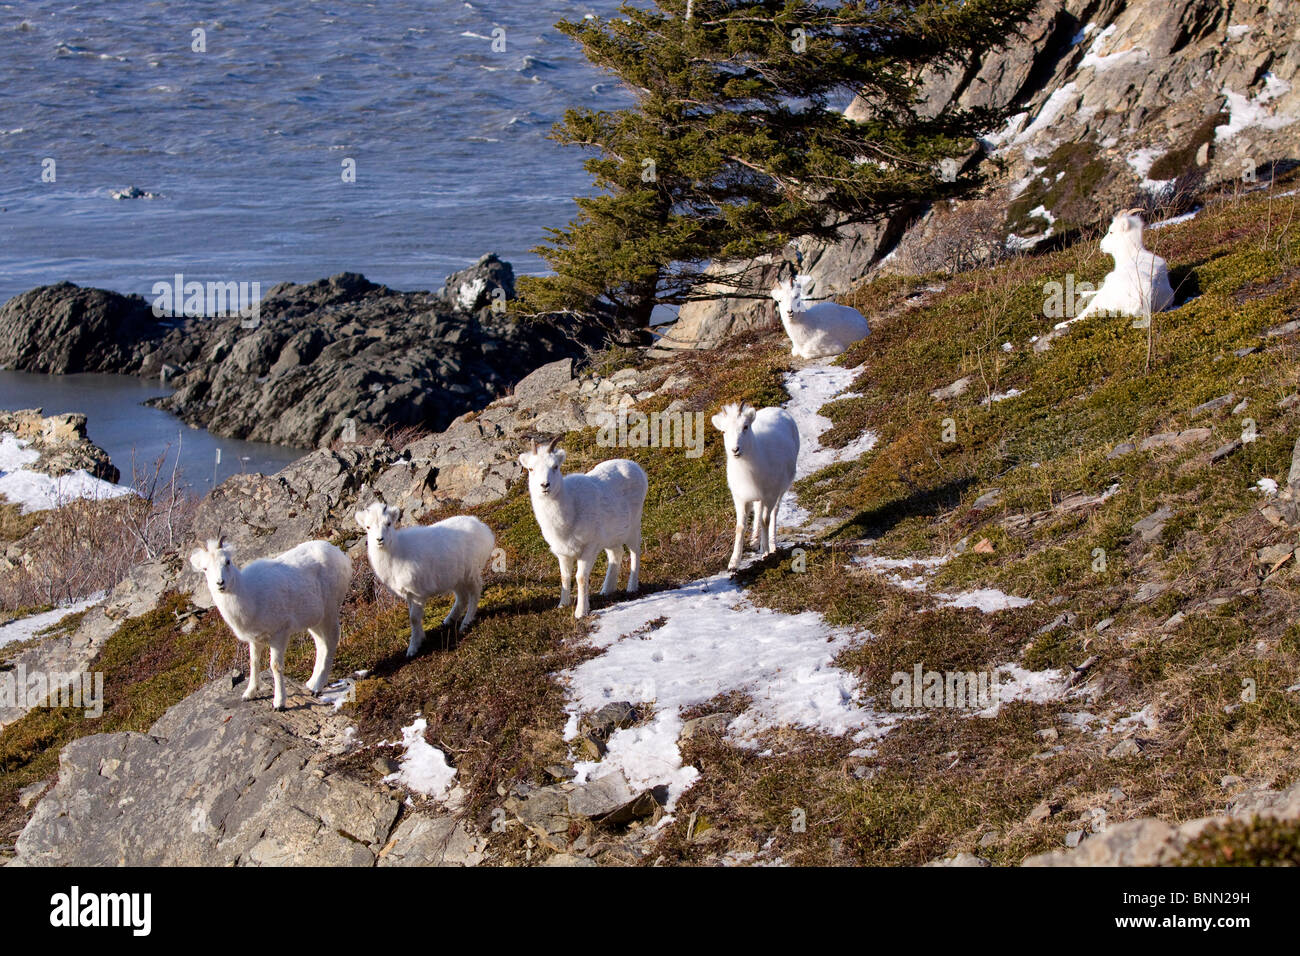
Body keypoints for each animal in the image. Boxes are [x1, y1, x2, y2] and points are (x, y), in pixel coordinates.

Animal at [189, 537, 352, 711]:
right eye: (205, 568)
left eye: (227, 561)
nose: (220, 583)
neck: (250, 596)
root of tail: (339, 554)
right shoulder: (255, 639)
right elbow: (254, 663)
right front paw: (248, 694)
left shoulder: (279, 634)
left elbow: (275, 666)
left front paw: (279, 703)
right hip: (315, 620)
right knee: (321, 644)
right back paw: (311, 684)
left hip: (330, 612)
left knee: (332, 641)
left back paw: (317, 688)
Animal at [354, 502, 496, 657]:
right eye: (368, 527)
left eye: (389, 523)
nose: (379, 540)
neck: (396, 553)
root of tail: (484, 529)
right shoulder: (409, 595)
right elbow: (413, 618)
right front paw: (420, 638)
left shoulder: (417, 593)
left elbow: (414, 618)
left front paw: (413, 649)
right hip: (456, 578)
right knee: (462, 598)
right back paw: (448, 621)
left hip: (471, 574)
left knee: (475, 594)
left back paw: (465, 624)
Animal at [517, 439, 647, 618]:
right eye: (530, 468)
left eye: (555, 466)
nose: (545, 485)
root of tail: (637, 468)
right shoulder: (563, 553)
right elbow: (564, 577)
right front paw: (562, 605)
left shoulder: (589, 548)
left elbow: (580, 578)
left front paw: (580, 612)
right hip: (610, 538)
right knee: (616, 554)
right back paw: (606, 591)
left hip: (633, 527)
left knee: (635, 552)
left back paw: (631, 588)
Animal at [711, 402, 800, 570]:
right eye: (724, 431)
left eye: (745, 427)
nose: (735, 450)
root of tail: (778, 410)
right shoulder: (740, 498)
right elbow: (740, 527)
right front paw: (733, 563)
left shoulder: (770, 495)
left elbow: (766, 520)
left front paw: (766, 553)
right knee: (758, 510)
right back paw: (754, 541)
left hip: (780, 491)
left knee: (773, 514)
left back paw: (772, 545)